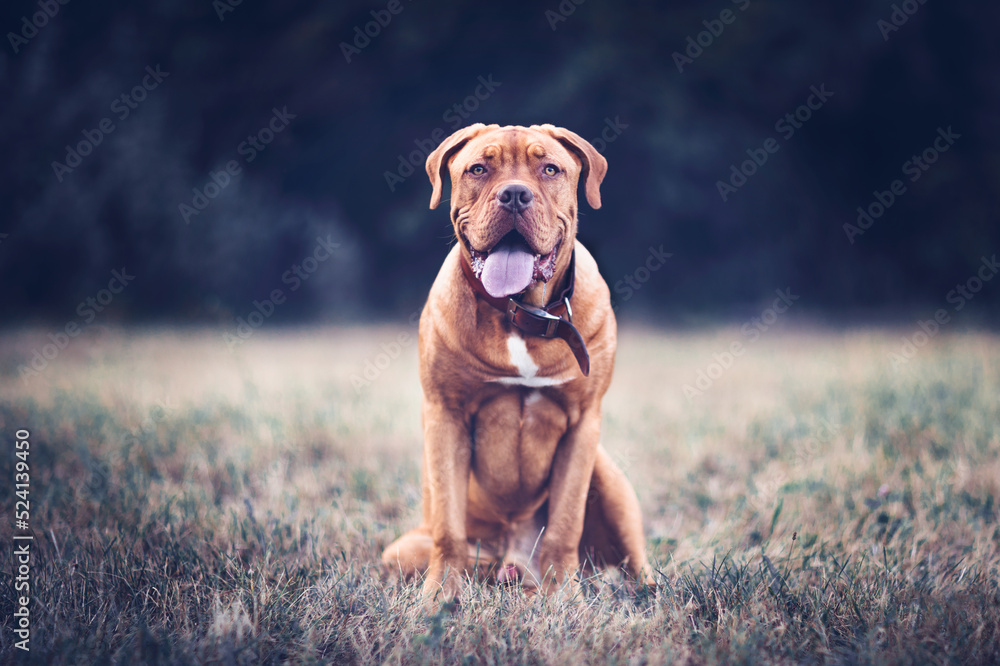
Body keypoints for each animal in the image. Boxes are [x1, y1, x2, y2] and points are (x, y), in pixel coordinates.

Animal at [378, 122, 652, 600]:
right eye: (478, 169)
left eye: (550, 169)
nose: (514, 195)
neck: (521, 312)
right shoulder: (446, 415)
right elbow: (448, 526)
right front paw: (438, 598)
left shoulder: (583, 424)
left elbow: (565, 522)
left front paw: (564, 598)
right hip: (401, 551)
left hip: (609, 480)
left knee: (636, 563)